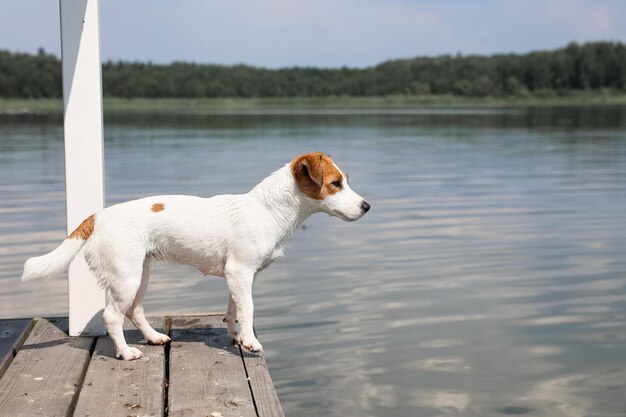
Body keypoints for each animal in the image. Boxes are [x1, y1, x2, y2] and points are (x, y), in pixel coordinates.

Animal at [22, 151, 368, 360]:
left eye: (344, 181)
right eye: (335, 183)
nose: (367, 206)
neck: (268, 210)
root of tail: (96, 217)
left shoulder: (238, 277)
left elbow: (234, 310)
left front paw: (237, 337)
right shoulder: (240, 272)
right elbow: (249, 308)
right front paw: (250, 342)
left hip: (140, 275)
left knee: (135, 311)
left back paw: (153, 338)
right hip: (126, 278)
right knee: (111, 316)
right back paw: (126, 353)